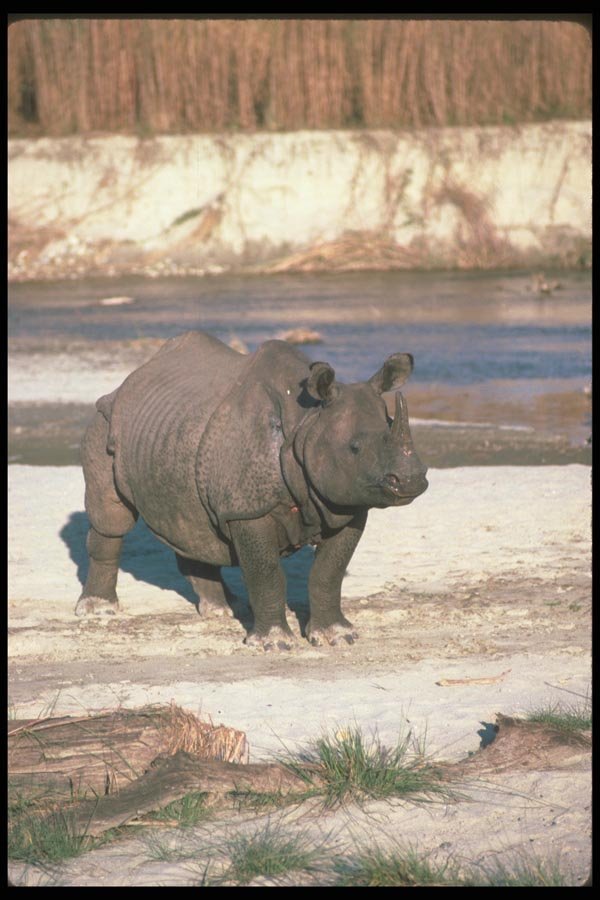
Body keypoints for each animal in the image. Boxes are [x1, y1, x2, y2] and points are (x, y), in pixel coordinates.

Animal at [76, 330, 428, 649]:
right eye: (354, 448)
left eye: (393, 424)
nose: (409, 480)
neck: (308, 421)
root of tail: (127, 381)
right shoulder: (246, 508)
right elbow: (267, 572)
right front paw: (274, 643)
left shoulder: (347, 503)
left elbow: (329, 571)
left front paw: (338, 637)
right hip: (104, 423)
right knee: (112, 519)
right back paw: (98, 611)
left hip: (174, 433)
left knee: (193, 525)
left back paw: (222, 609)